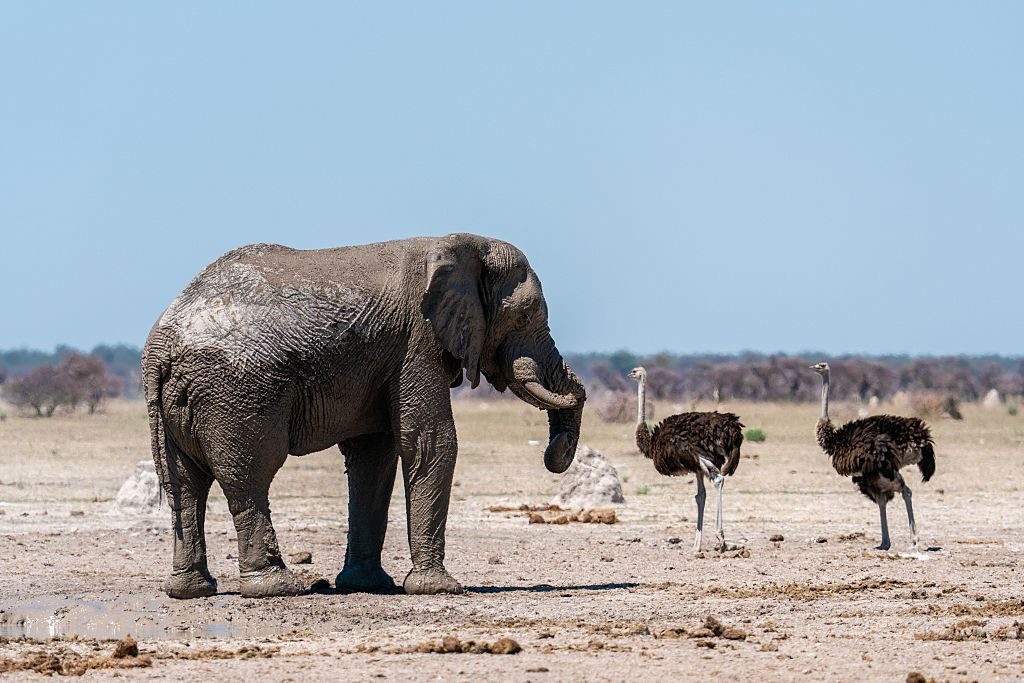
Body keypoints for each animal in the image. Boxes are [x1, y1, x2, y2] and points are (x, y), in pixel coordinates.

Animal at [142, 233, 585, 598]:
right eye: (525, 317)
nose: (556, 453)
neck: (455, 243)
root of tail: (160, 344)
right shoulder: (417, 341)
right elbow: (431, 441)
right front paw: (439, 588)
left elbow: (374, 456)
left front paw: (368, 585)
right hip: (237, 394)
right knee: (249, 477)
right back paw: (276, 588)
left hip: (183, 402)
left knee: (185, 486)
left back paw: (190, 591)